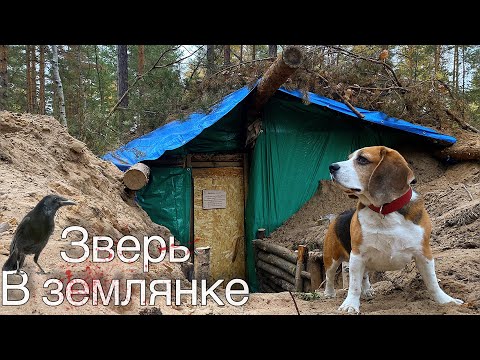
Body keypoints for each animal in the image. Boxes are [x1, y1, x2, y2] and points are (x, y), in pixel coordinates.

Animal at [324, 146, 464, 312]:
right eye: (349, 158)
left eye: (362, 160)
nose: (331, 167)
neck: (385, 211)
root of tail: (338, 215)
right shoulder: (358, 255)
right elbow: (354, 285)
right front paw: (350, 305)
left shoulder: (424, 253)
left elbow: (432, 282)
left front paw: (445, 301)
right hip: (331, 258)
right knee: (330, 276)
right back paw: (329, 293)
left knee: (364, 276)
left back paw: (367, 290)